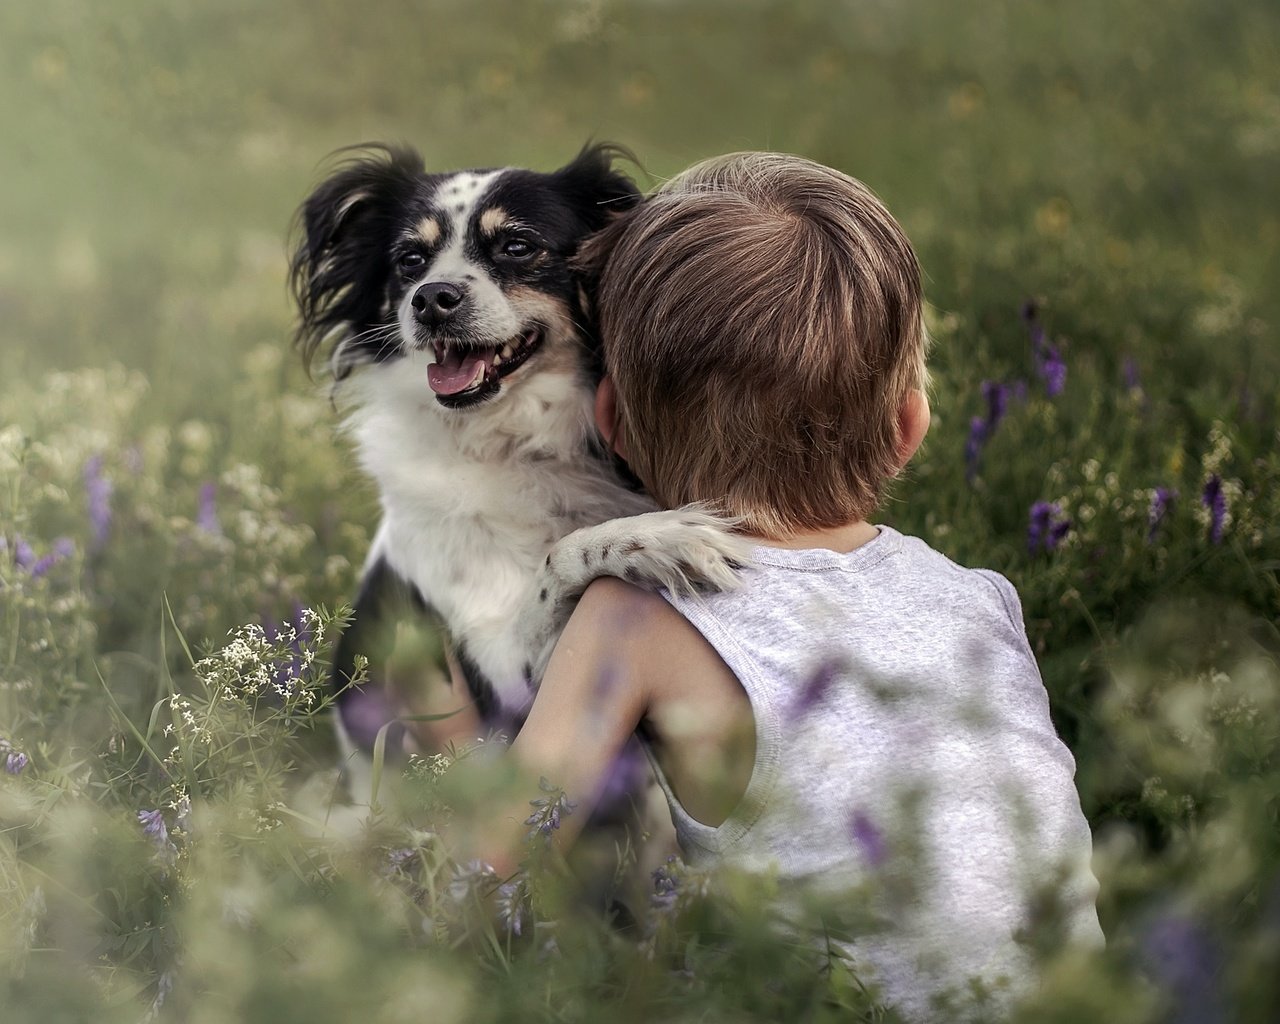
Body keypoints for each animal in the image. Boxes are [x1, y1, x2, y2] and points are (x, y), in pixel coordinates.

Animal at [288, 142, 747, 808]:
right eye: (409, 259)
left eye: (517, 246)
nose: (430, 298)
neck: (509, 441)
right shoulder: (506, 688)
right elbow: (565, 557)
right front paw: (661, 538)